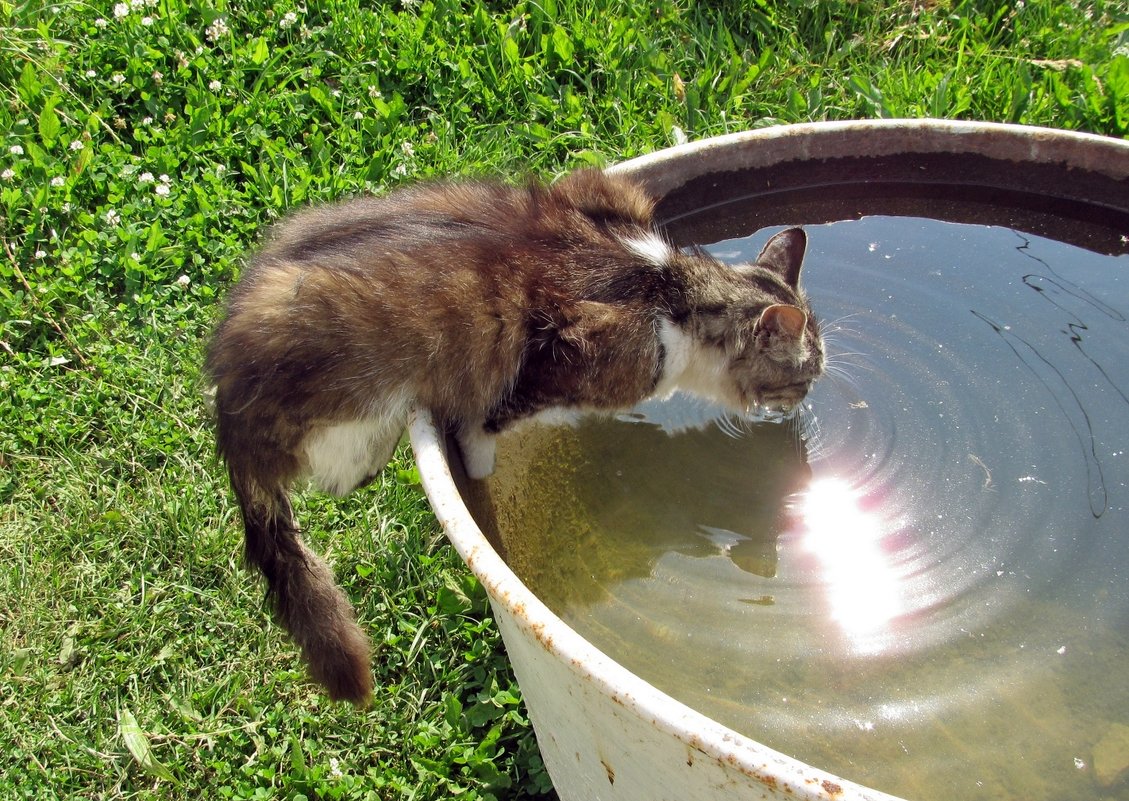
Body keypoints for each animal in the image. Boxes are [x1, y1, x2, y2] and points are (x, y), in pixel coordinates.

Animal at [205, 167, 821, 700]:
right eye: (806, 374)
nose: (807, 401)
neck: (671, 289)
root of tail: (228, 401)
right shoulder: (552, 368)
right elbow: (481, 438)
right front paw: (482, 483)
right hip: (356, 426)